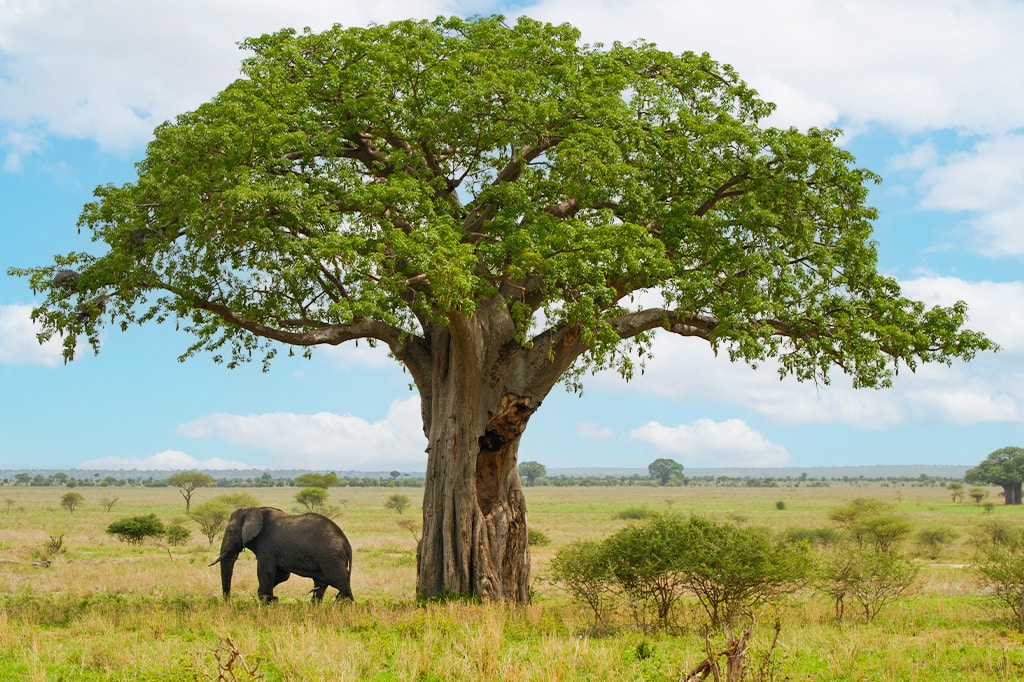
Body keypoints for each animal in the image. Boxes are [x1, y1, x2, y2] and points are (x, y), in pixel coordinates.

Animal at [210, 506, 354, 603]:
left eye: (230, 531)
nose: (228, 602)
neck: (253, 509)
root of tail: (346, 543)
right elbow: (282, 575)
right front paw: (271, 599)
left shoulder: (267, 546)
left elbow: (266, 572)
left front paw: (267, 602)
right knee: (322, 584)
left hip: (331, 558)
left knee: (340, 582)